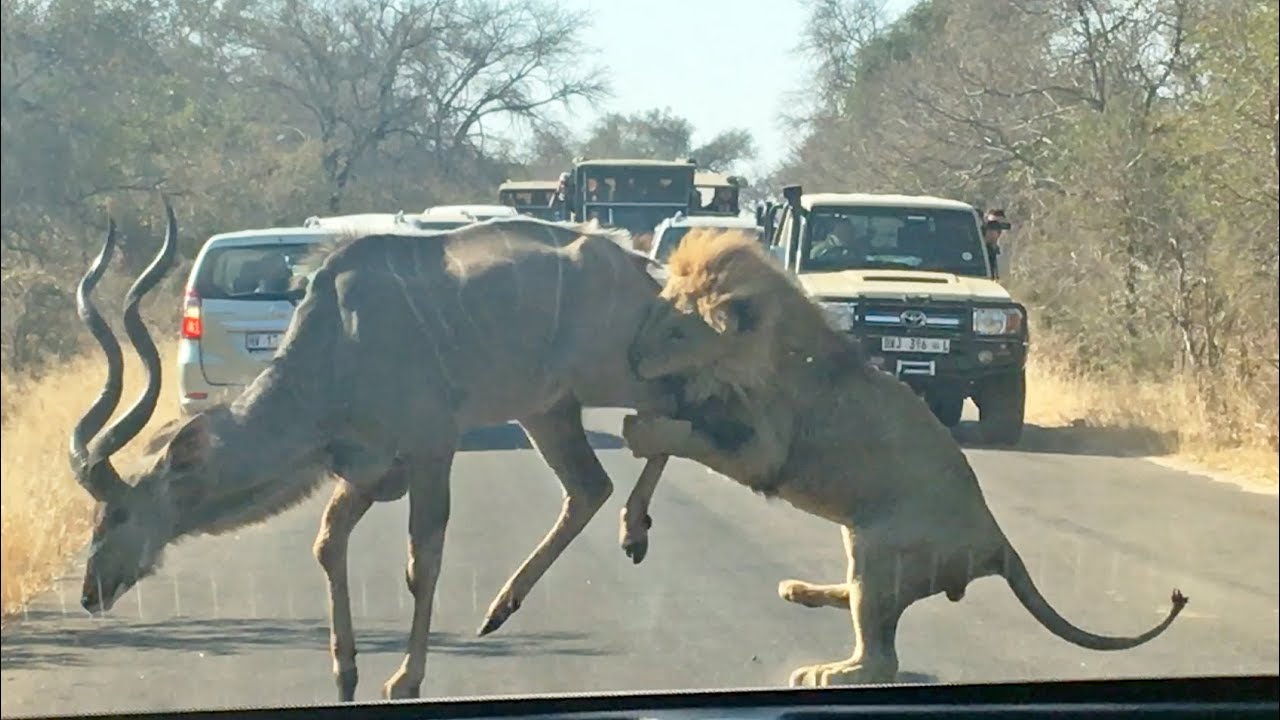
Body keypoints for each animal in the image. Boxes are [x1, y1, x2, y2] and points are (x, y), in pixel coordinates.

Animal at [619, 226, 1187, 686]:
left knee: (880, 657)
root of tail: (997, 543)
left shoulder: (764, 450)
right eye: (654, 312)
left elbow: (685, 440)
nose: (632, 357)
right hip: (862, 545)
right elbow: (677, 439)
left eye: (676, 329)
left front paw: (640, 432)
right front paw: (635, 514)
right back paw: (802, 591)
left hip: (881, 551)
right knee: (858, 605)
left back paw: (826, 671)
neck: (738, 363)